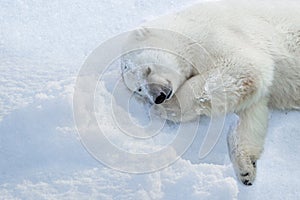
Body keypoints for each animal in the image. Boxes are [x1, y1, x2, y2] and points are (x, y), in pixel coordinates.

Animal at [120, 1, 300, 186]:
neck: (186, 28)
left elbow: (243, 67)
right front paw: (246, 167)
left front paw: (164, 109)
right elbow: (250, 110)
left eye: (147, 69)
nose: (158, 97)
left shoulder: (215, 35)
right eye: (139, 89)